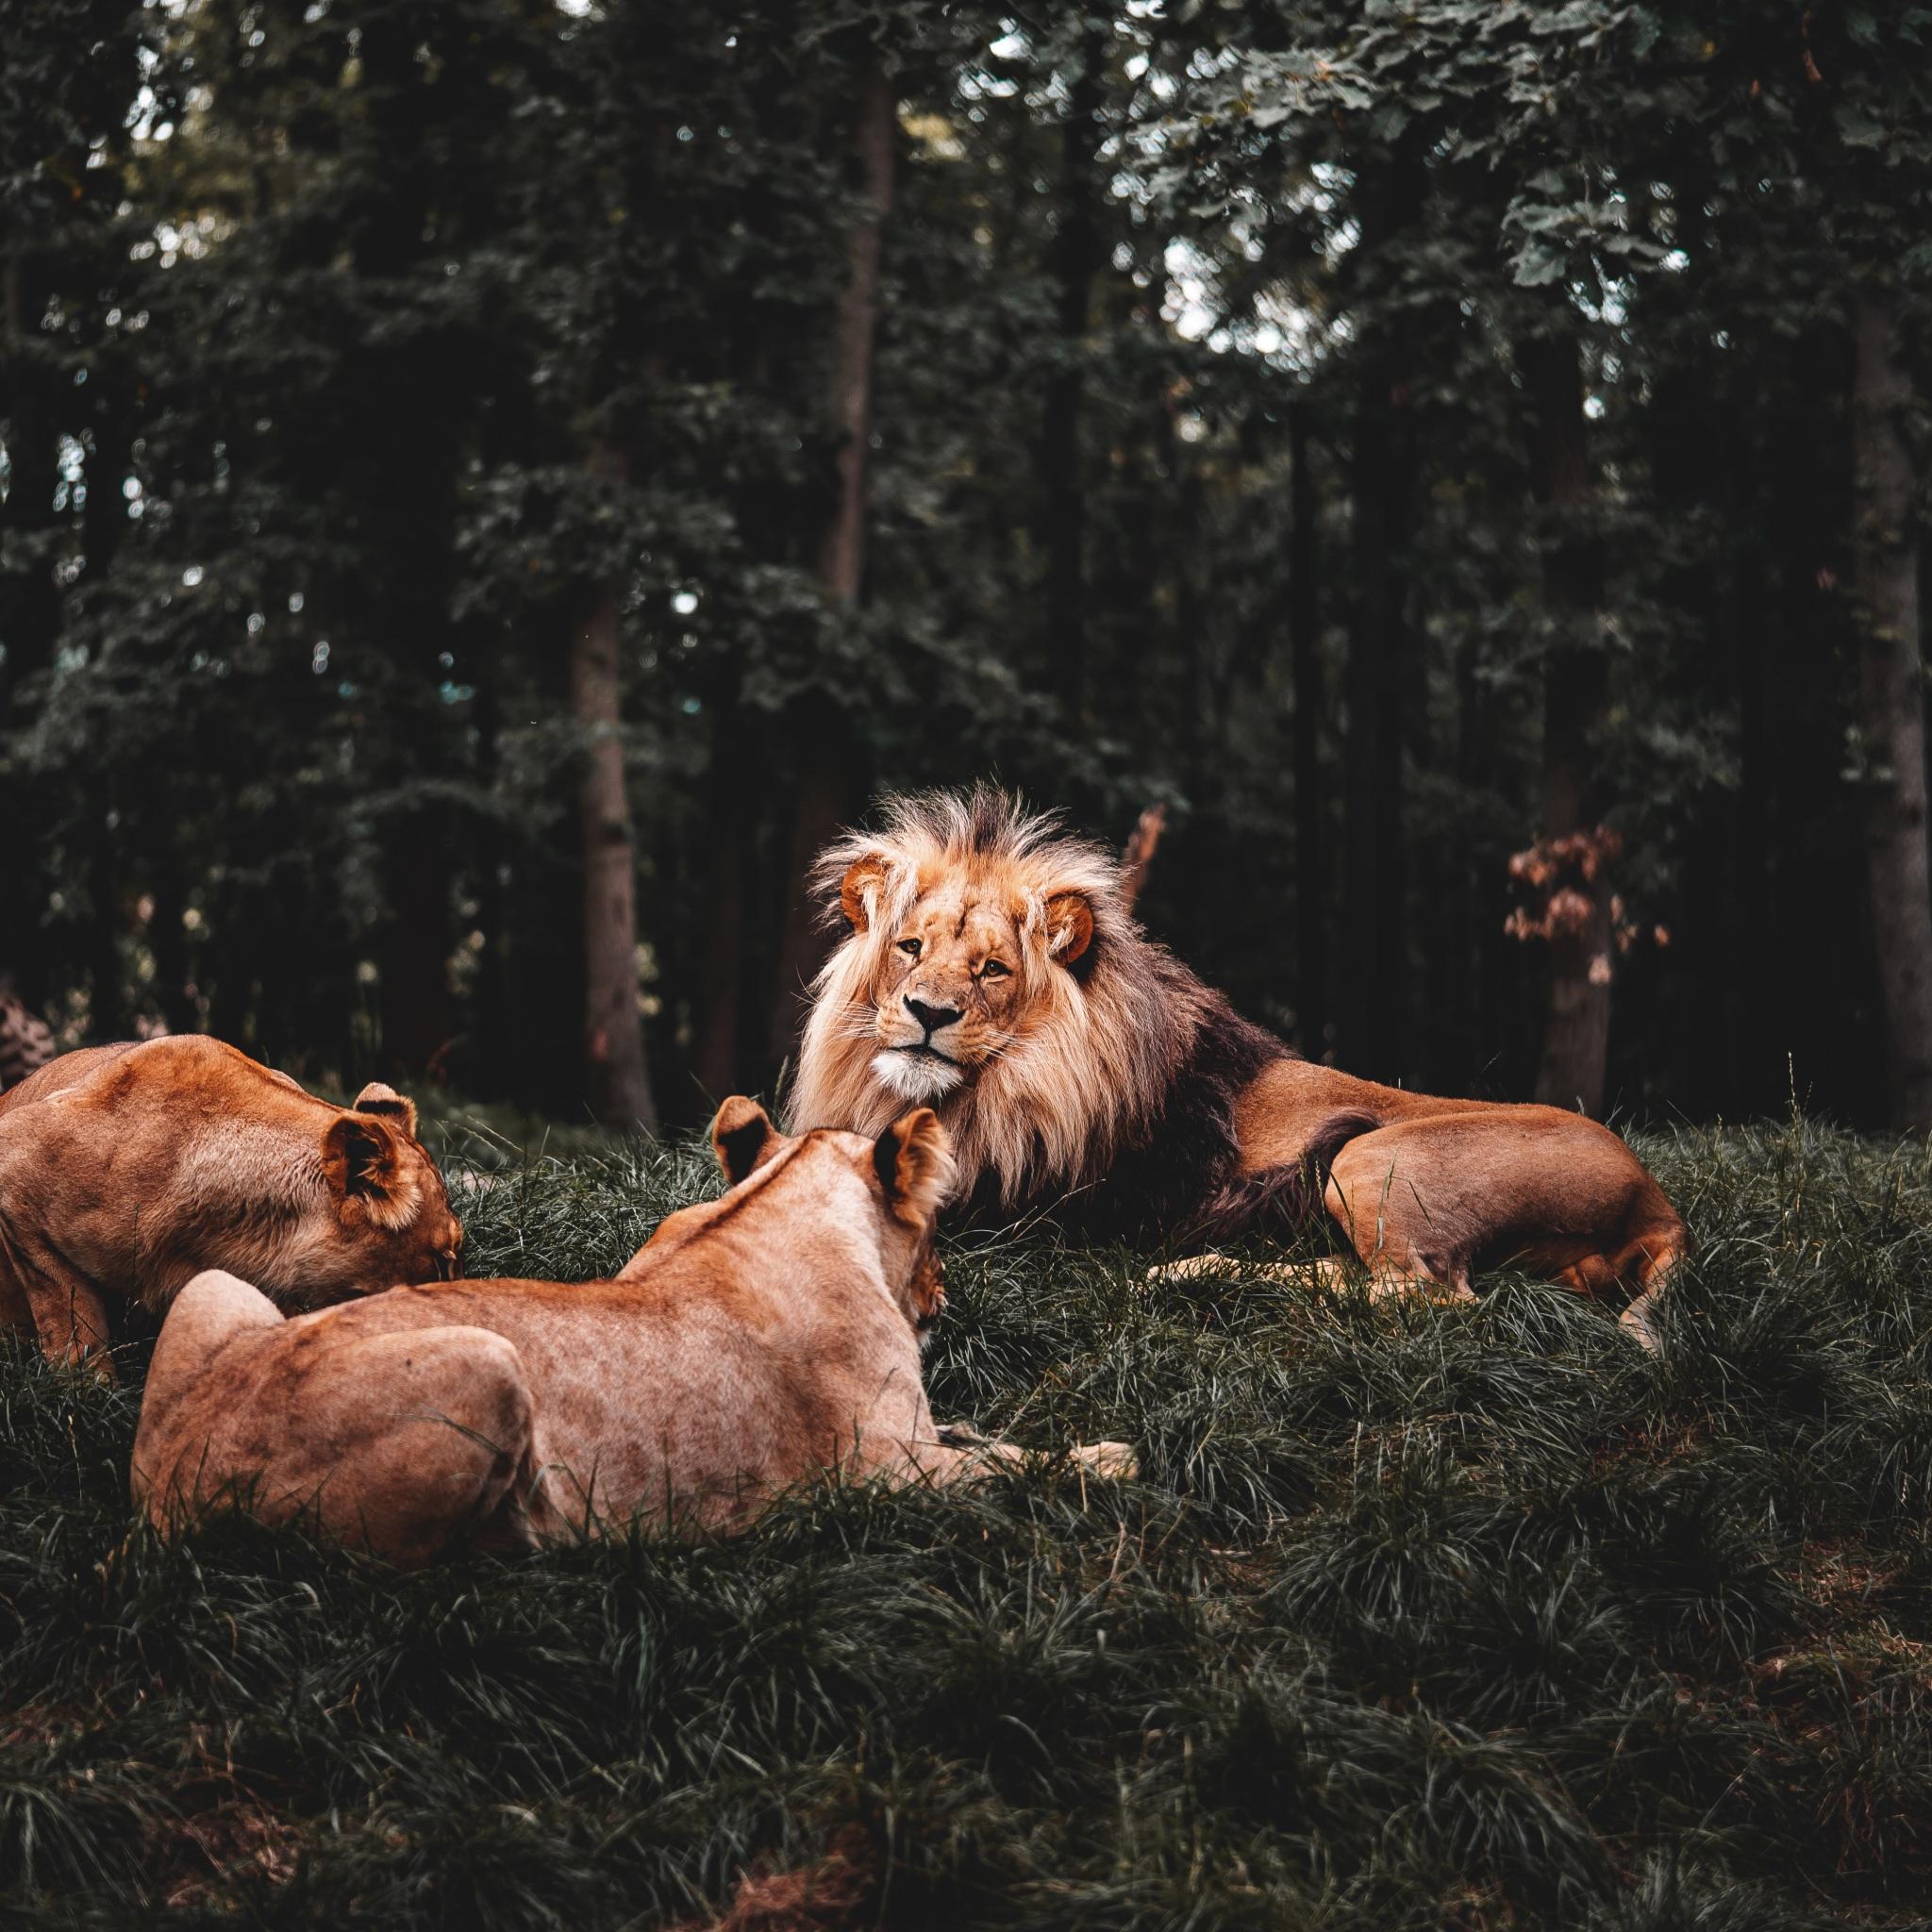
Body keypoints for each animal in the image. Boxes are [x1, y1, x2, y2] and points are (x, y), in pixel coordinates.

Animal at [131, 1098, 1134, 1565]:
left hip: (218, 1291)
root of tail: (170, 1482)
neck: (782, 1199)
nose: (942, 1298)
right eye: (935, 1229)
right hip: (490, 1364)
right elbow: (1015, 1464)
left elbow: (985, 1437)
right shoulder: (885, 1476)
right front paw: (1113, 1459)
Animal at [791, 788, 1685, 1349]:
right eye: (910, 948)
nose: (927, 1013)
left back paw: (1197, 1279)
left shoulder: (1029, 1216)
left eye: (992, 971)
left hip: (1372, 1156)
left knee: (1428, 1296)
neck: (996, 1094)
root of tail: (1656, 1198)